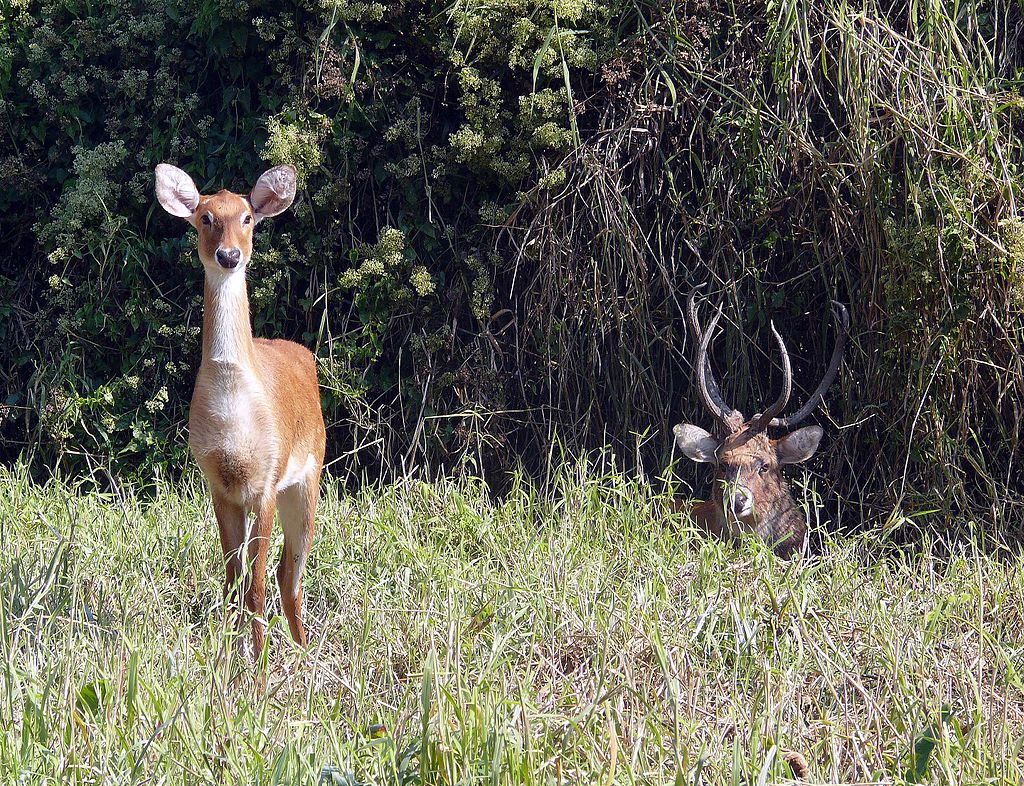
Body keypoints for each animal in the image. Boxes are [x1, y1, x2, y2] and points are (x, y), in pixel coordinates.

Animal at [154, 163, 327, 655]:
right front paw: (228, 656)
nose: (229, 255)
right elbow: (233, 580)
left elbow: (257, 585)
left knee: (291, 573)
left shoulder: (267, 479)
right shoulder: (218, 483)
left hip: (308, 477)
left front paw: (259, 663)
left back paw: (302, 652)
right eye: (205, 217)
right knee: (282, 573)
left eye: (248, 217)